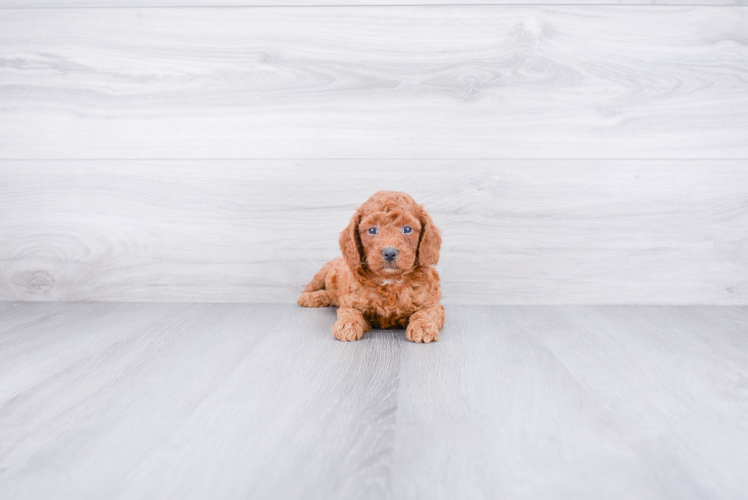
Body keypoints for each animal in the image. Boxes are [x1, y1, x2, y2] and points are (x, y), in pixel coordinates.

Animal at [296, 189, 442, 342]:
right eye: (372, 230)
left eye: (407, 229)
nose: (390, 253)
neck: (390, 282)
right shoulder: (351, 301)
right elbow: (349, 311)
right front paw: (346, 326)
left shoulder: (432, 303)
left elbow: (426, 313)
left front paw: (423, 327)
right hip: (322, 274)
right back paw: (309, 297)